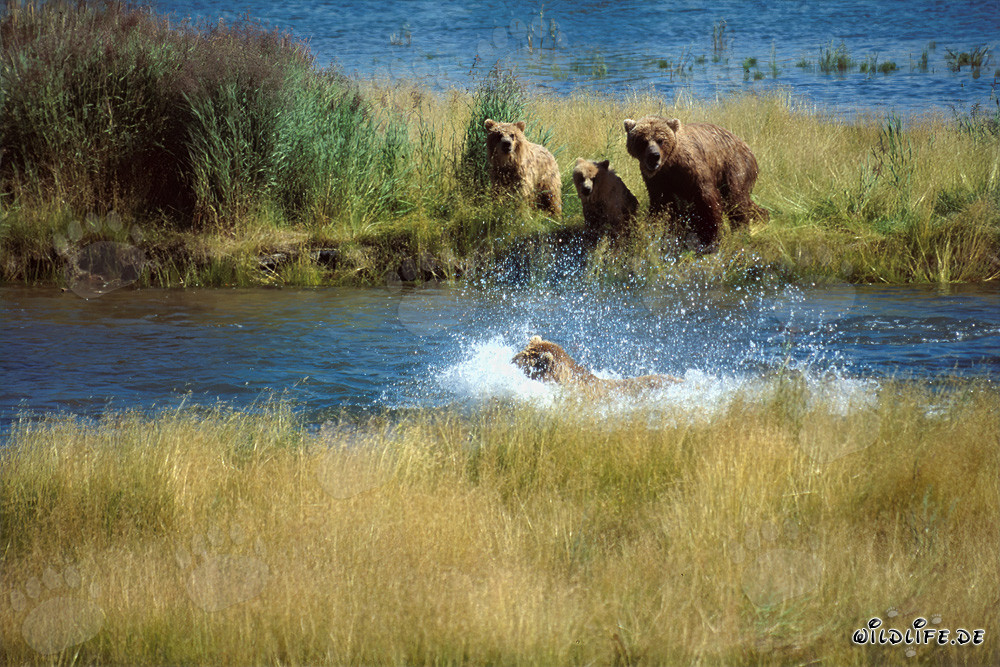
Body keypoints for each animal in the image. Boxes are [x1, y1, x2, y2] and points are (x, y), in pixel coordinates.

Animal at [623, 116, 768, 249]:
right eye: (642, 141)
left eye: (660, 140)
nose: (654, 156)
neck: (669, 163)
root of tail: (745, 145)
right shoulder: (657, 178)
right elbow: (662, 203)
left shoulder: (692, 167)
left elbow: (707, 197)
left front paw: (711, 236)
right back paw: (763, 216)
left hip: (734, 164)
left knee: (735, 197)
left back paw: (742, 230)